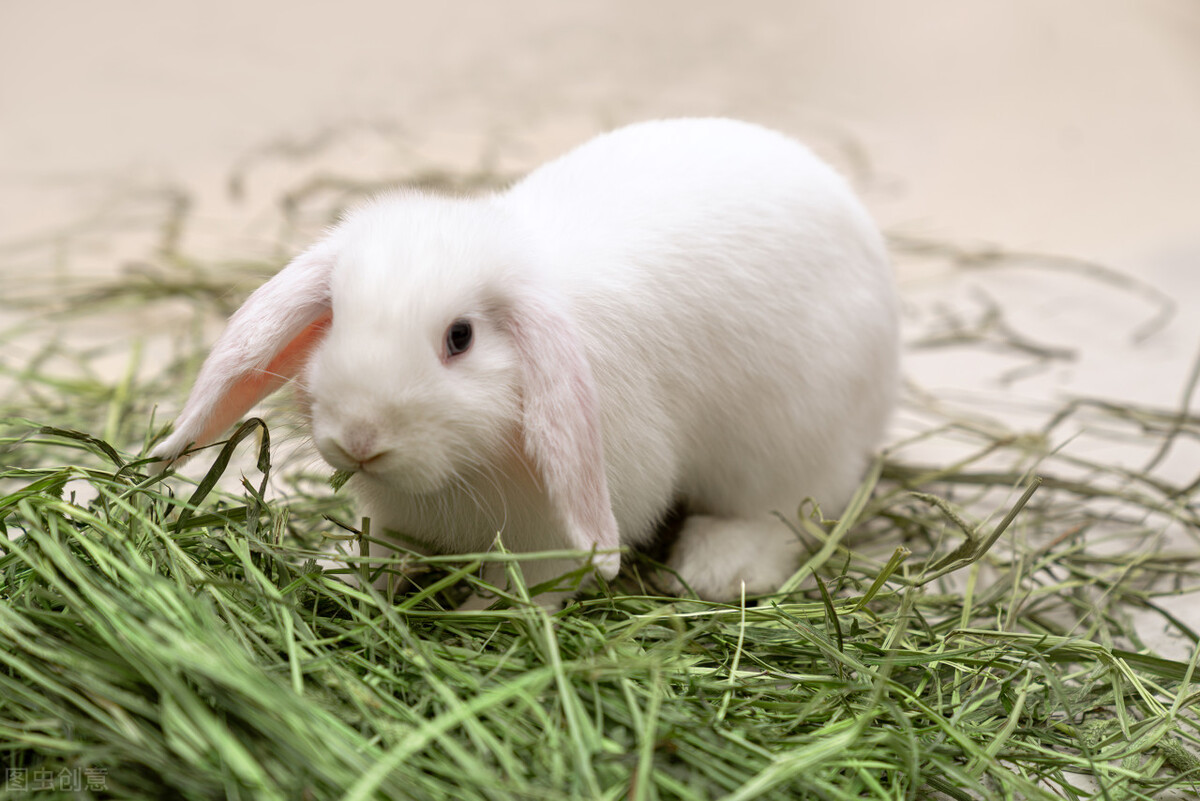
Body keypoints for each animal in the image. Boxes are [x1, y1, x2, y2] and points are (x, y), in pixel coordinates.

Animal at [152, 117, 900, 605]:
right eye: (335, 313)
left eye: (460, 338)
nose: (360, 439)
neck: (466, 465)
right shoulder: (397, 519)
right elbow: (381, 549)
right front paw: (338, 572)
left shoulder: (559, 531)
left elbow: (529, 588)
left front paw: (486, 615)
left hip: (789, 446)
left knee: (785, 514)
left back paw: (713, 570)